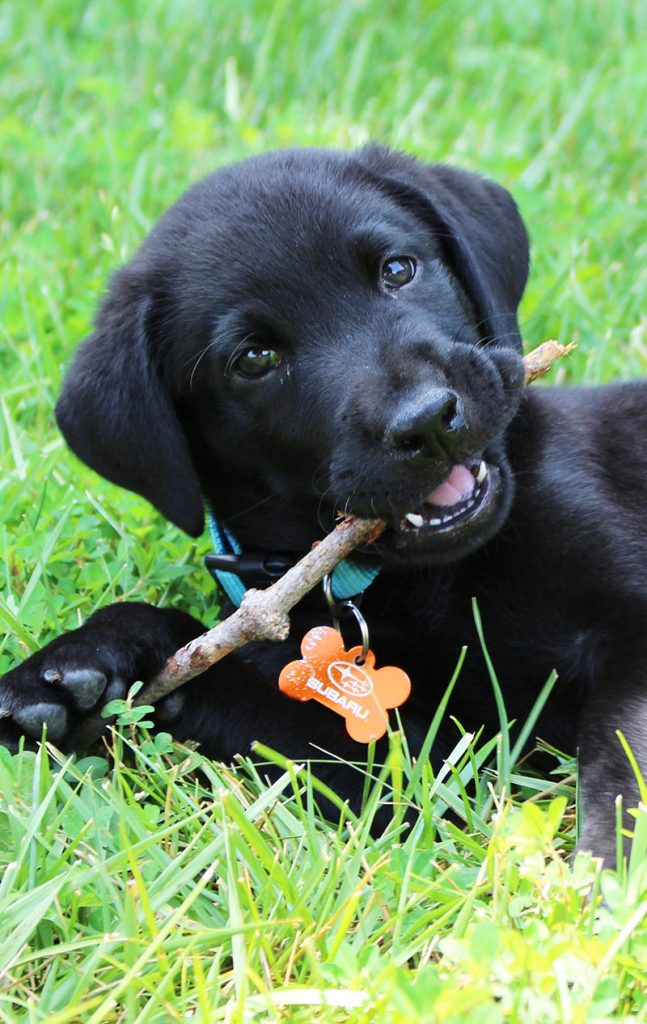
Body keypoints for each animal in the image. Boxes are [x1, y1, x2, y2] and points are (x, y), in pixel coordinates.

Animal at [2, 146, 642, 864]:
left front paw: (608, 871)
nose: (426, 421)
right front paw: (79, 661)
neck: (423, 580)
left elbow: (620, 762)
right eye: (254, 358)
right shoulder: (427, 756)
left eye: (398, 270)